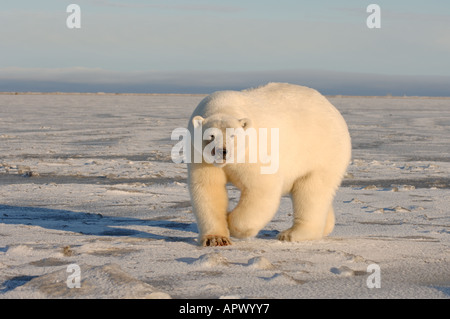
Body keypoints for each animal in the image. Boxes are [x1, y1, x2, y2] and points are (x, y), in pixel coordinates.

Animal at [186, 82, 352, 248]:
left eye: (233, 135)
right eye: (211, 136)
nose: (223, 152)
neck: (224, 106)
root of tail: (331, 107)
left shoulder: (255, 150)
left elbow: (261, 187)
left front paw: (231, 222)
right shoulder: (200, 156)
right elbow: (208, 188)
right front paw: (216, 239)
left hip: (321, 153)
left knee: (311, 191)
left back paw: (290, 234)